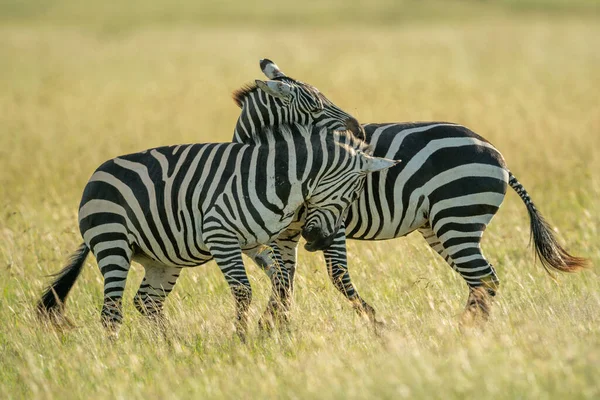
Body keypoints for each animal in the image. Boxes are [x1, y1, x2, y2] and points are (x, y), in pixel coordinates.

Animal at [37, 122, 398, 338]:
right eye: (351, 194)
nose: (318, 240)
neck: (280, 180)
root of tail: (96, 174)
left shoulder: (257, 241)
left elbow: (281, 281)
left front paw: (273, 329)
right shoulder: (220, 234)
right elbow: (243, 291)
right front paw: (242, 338)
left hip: (161, 260)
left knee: (147, 302)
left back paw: (168, 347)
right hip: (112, 242)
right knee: (111, 311)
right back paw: (118, 359)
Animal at [231, 59, 584, 326]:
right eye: (316, 107)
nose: (358, 131)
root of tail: (499, 158)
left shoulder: (332, 219)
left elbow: (337, 276)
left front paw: (374, 323)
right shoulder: (284, 233)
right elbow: (283, 281)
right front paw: (273, 328)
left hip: (457, 219)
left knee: (484, 278)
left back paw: (466, 332)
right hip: (441, 227)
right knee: (481, 281)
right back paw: (466, 330)